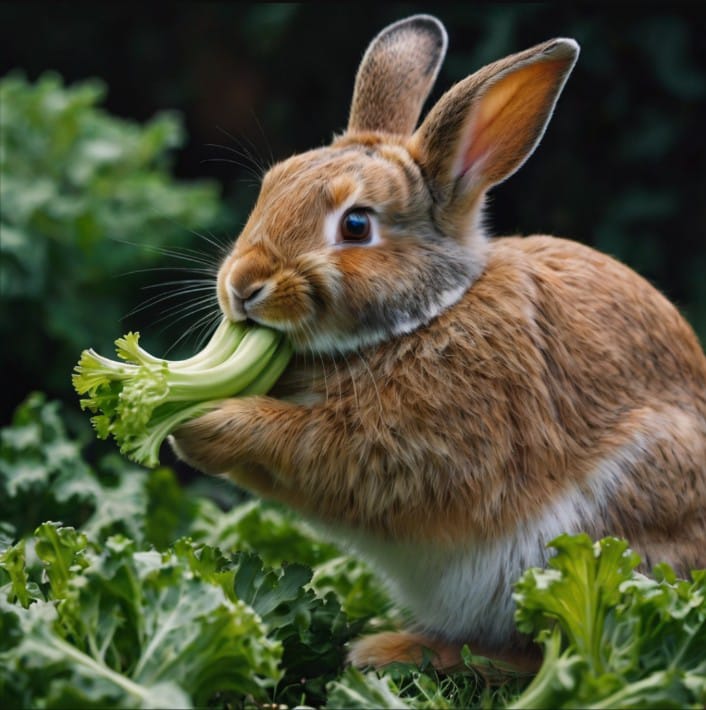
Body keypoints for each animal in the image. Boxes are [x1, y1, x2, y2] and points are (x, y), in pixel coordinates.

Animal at [169, 15, 704, 672]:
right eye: (271, 186)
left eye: (356, 225)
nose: (242, 286)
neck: (429, 313)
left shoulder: (417, 448)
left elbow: (313, 450)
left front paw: (204, 422)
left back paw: (391, 649)